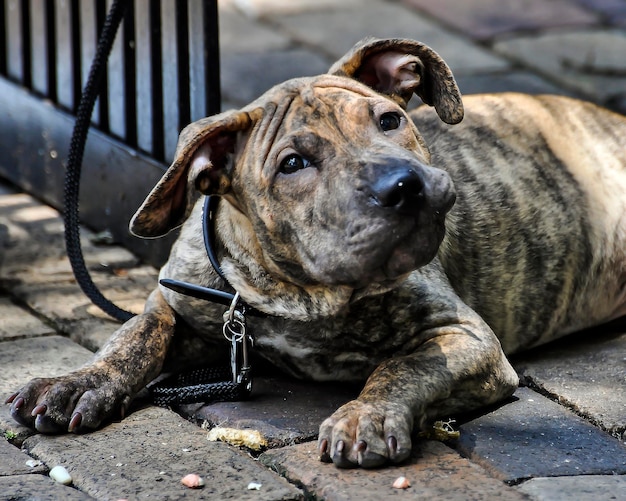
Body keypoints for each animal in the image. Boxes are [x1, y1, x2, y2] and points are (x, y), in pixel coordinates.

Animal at [6, 37, 624, 466]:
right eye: (293, 164)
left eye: (390, 120)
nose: (404, 186)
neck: (300, 292)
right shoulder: (178, 300)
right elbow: (134, 335)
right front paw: (79, 382)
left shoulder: (464, 336)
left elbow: (401, 367)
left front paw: (363, 416)